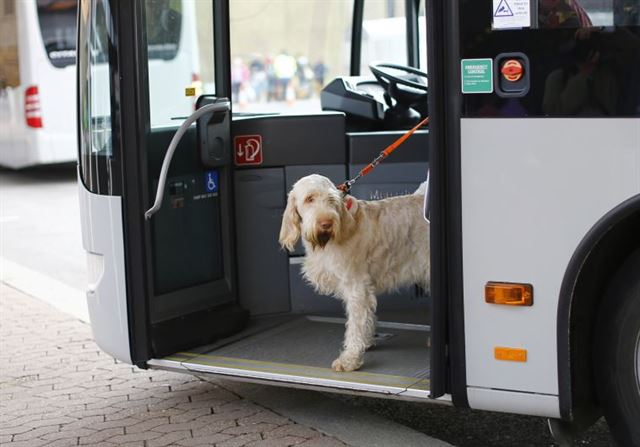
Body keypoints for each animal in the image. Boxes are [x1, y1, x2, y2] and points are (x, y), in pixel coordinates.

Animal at [278, 173, 430, 372]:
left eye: (332, 200)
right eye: (309, 198)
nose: (326, 224)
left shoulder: (356, 287)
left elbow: (355, 325)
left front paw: (350, 359)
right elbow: (366, 319)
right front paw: (367, 341)